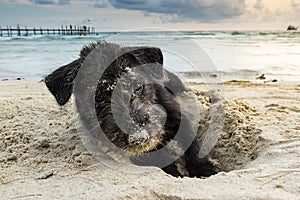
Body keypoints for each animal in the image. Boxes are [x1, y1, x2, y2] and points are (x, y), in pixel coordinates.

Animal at [45, 41, 216, 177]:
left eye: (138, 87)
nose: (138, 136)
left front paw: (204, 170)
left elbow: (192, 145)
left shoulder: (179, 117)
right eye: (97, 97)